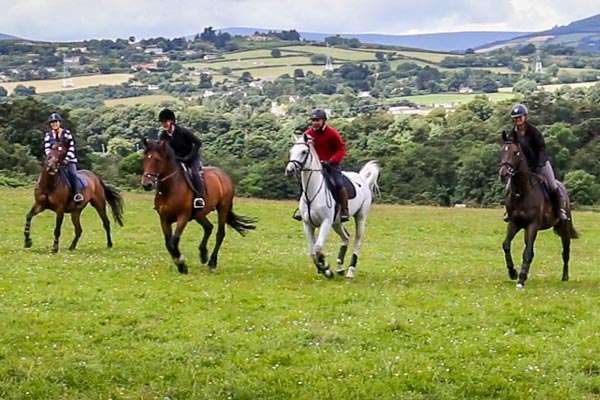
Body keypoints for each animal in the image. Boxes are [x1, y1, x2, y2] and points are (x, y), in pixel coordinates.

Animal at [142, 139, 256, 274]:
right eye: (144, 159)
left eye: (157, 160)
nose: (147, 184)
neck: (170, 188)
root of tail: (224, 175)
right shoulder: (164, 218)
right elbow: (168, 243)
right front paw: (180, 263)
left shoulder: (183, 216)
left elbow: (175, 240)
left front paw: (182, 264)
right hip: (199, 214)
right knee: (209, 227)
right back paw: (203, 255)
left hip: (222, 208)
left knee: (220, 234)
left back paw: (212, 263)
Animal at [284, 134, 380, 278]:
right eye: (291, 151)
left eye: (304, 152)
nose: (289, 170)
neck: (312, 193)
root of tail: (362, 178)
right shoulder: (307, 224)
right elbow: (312, 251)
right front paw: (323, 268)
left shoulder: (326, 222)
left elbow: (318, 248)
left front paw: (326, 268)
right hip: (337, 223)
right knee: (346, 238)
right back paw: (340, 267)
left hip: (360, 217)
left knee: (357, 240)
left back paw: (350, 271)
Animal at [496, 133, 576, 290]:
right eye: (502, 151)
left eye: (516, 152)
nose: (504, 174)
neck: (522, 192)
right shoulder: (514, 223)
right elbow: (506, 245)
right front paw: (513, 273)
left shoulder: (532, 225)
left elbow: (527, 252)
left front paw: (521, 279)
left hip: (564, 228)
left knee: (566, 251)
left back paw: (565, 277)